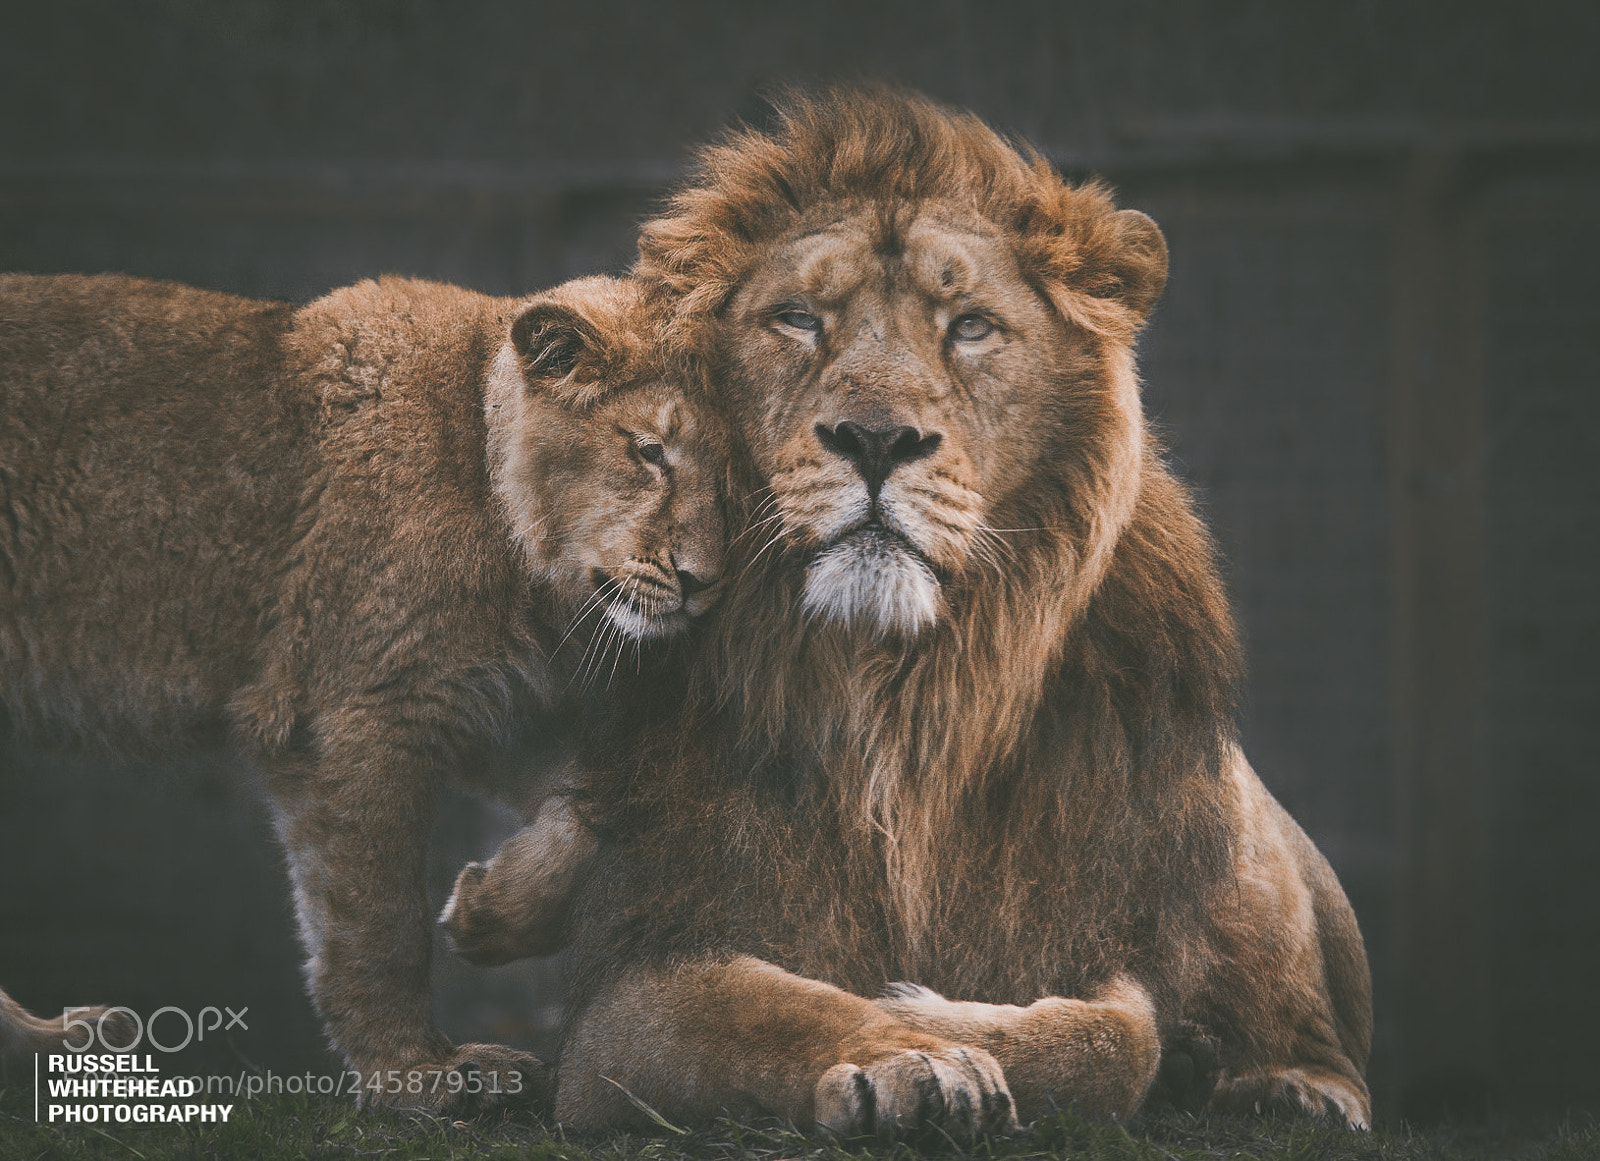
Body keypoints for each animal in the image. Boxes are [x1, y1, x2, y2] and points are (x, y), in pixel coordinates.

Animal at [0, 270, 727, 1109]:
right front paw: (416, 1073)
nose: (705, 582)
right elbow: (378, 920)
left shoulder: (491, 701)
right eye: (650, 452)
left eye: (738, 476)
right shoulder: (360, 713)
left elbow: (595, 807)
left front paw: (485, 916)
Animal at [464, 88, 1369, 1135]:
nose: (875, 438)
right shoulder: (627, 1001)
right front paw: (914, 1055)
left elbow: (1117, 1034)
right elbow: (781, 1011)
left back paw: (1286, 1086)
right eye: (796, 319)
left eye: (970, 326)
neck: (897, 696)